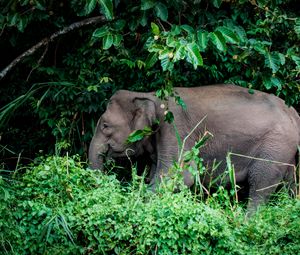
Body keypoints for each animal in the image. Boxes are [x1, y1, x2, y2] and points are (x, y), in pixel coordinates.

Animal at [89, 84, 300, 213]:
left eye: (105, 126)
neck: (149, 94)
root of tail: (294, 114)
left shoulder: (175, 129)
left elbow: (178, 177)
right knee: (289, 185)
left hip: (275, 147)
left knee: (260, 185)